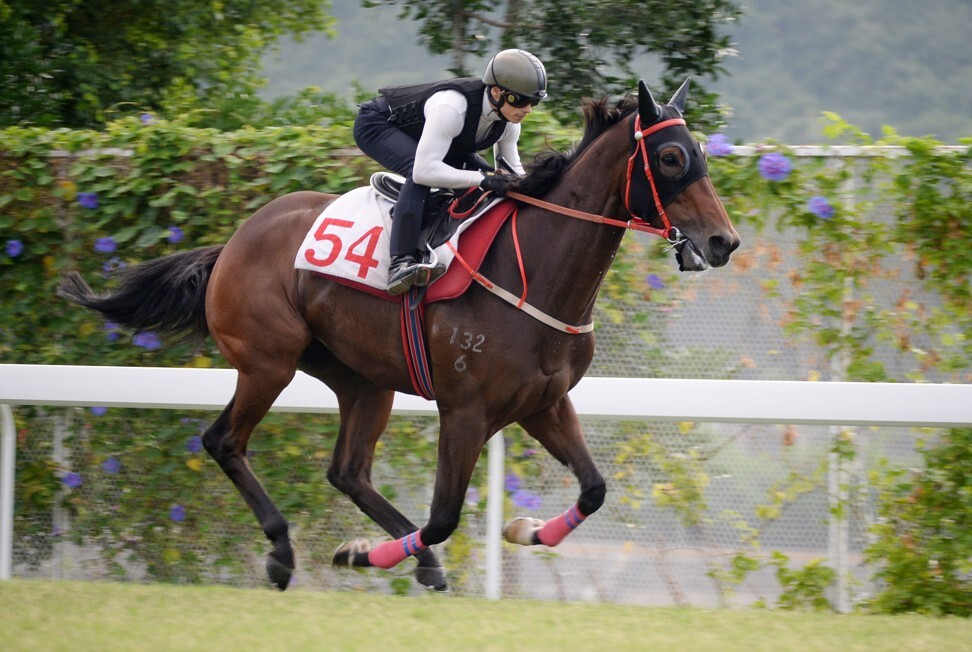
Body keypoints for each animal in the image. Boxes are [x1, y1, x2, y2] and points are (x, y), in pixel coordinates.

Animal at [58, 79, 736, 592]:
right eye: (671, 158)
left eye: (699, 151)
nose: (723, 242)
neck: (536, 271)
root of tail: (233, 242)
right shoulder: (465, 411)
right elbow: (442, 518)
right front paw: (360, 554)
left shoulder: (543, 402)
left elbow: (594, 489)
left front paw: (525, 531)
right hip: (268, 363)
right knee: (224, 440)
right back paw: (283, 552)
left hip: (362, 379)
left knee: (348, 471)